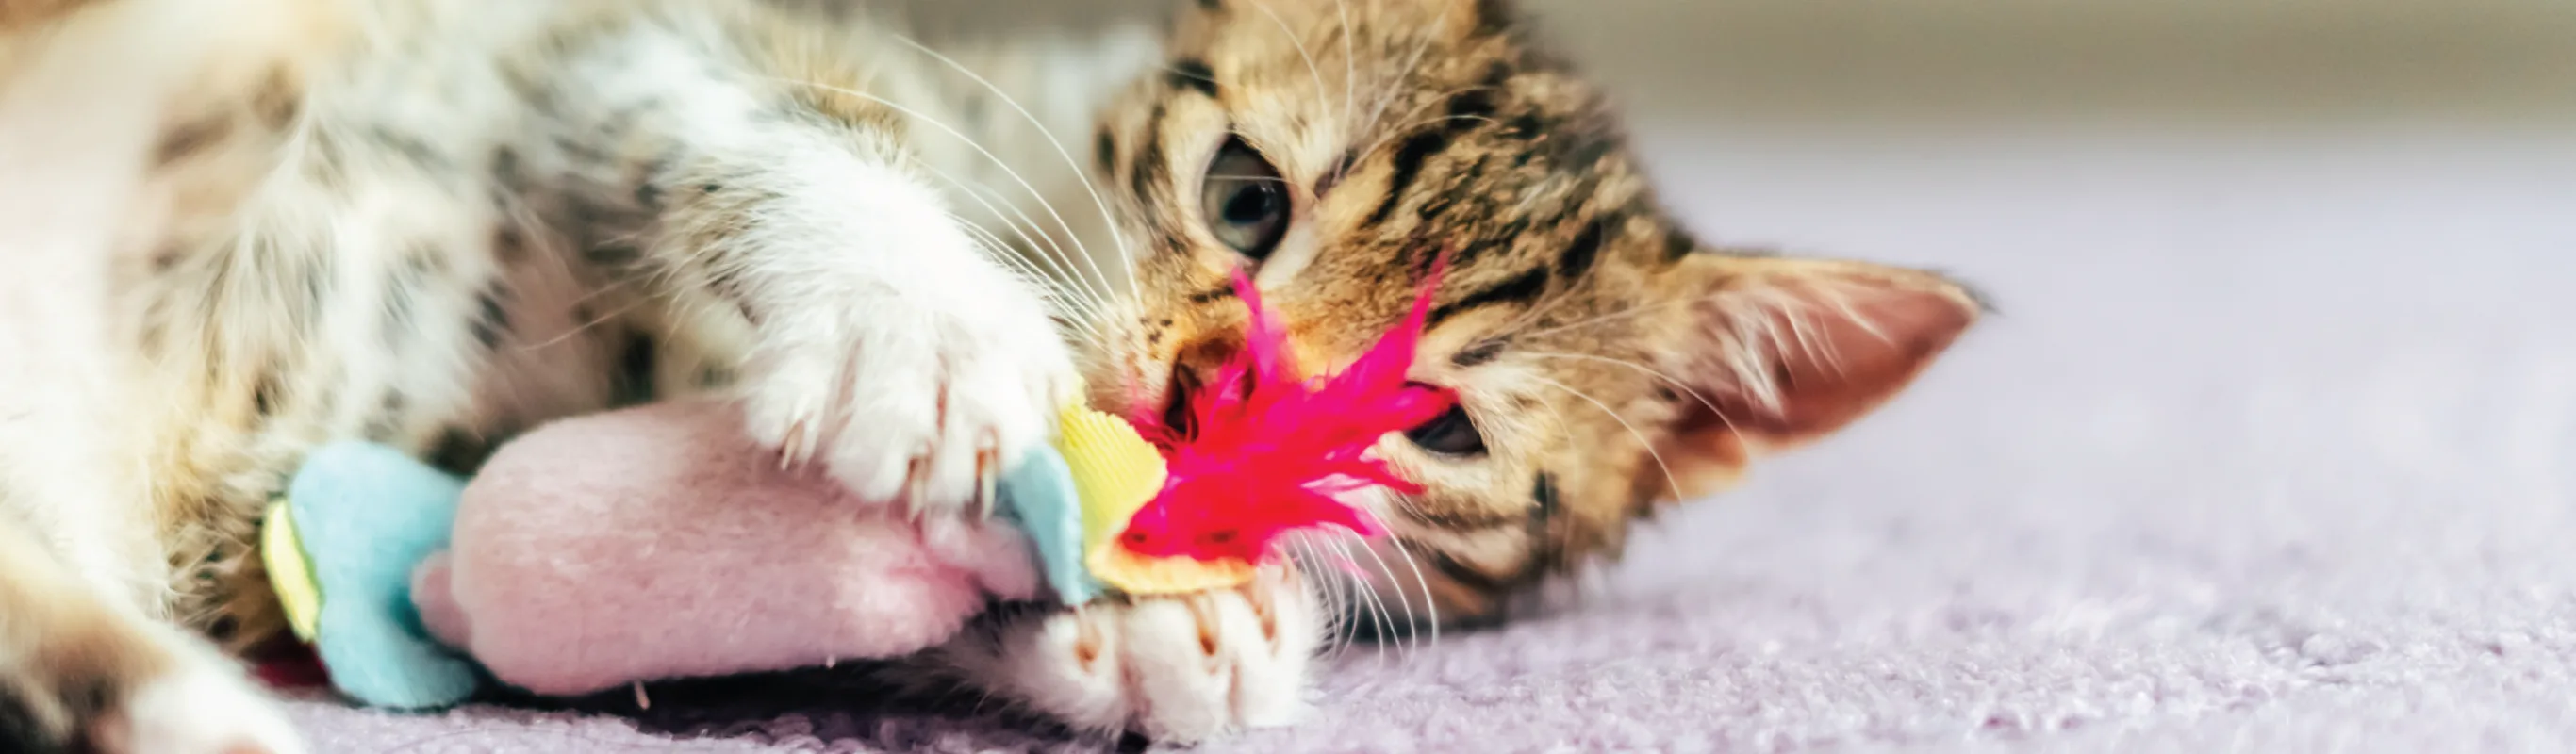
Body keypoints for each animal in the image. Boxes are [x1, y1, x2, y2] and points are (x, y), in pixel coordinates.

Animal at [0, 0, 1978, 746]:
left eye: (1429, 423)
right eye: (1242, 198)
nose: (1196, 414)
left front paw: (1162, 629)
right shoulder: (580, 47)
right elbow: (758, 104)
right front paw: (915, 316)